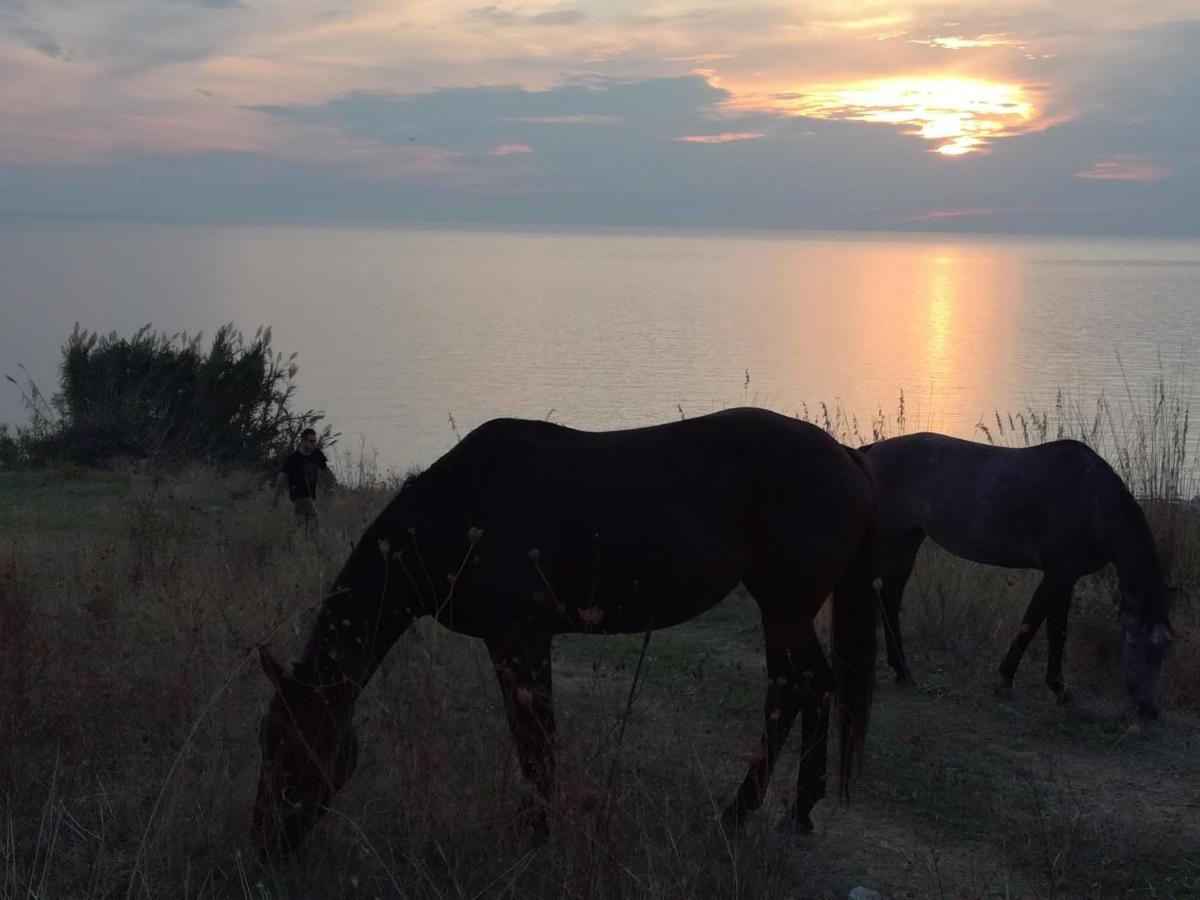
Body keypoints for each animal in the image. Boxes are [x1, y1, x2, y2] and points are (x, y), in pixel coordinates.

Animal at [250, 408, 883, 854]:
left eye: (295, 745)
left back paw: (743, 812)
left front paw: (535, 834)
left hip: (784, 605)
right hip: (788, 609)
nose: (268, 840)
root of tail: (846, 456)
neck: (461, 506)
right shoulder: (524, 643)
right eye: (266, 738)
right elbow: (536, 737)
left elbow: (535, 739)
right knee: (807, 687)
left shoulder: (519, 639)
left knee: (797, 687)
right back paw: (795, 811)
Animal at [859, 434, 1176, 724]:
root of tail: (871, 451)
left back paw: (902, 672)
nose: (1151, 710)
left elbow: (1030, 622)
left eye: (1164, 652)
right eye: (1138, 647)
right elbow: (1056, 632)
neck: (1091, 497)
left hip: (909, 540)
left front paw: (1005, 681)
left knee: (890, 598)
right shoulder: (1062, 574)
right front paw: (1060, 691)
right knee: (883, 598)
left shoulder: (1054, 576)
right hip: (892, 540)